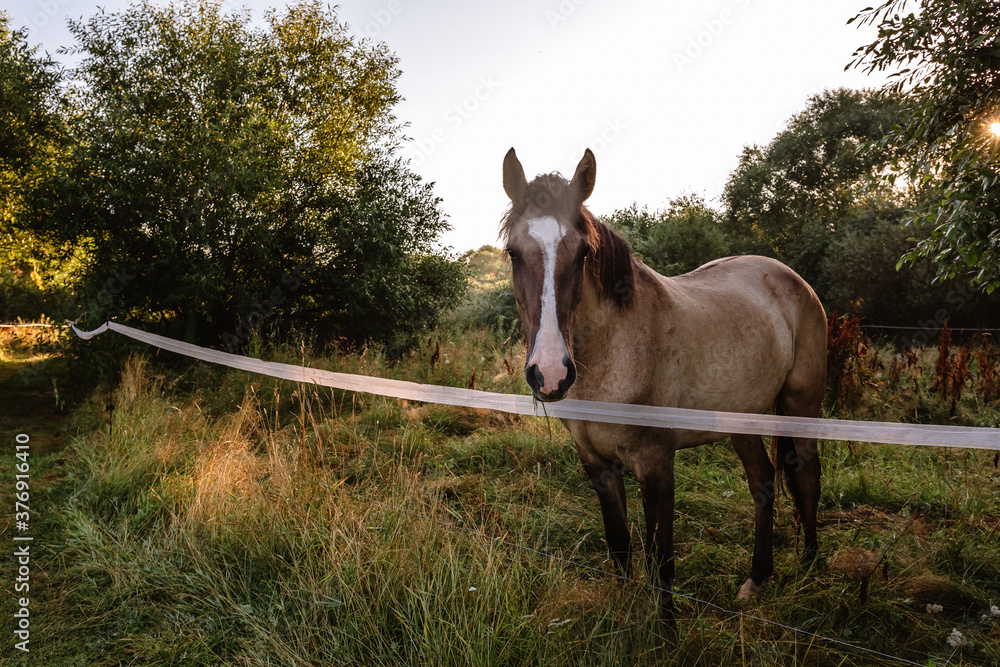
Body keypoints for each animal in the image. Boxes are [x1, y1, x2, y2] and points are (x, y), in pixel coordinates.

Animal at [500, 147, 827, 619]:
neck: (615, 350)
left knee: (807, 478)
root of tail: (792, 279)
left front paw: (665, 629)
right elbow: (620, 544)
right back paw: (756, 579)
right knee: (762, 482)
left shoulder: (656, 465)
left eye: (582, 252)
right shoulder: (596, 464)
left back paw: (810, 566)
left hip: (801, 405)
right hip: (741, 419)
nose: (551, 373)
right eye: (513, 252)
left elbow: (662, 560)